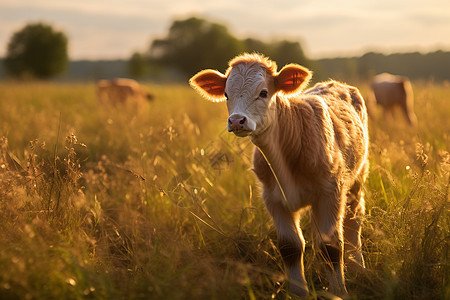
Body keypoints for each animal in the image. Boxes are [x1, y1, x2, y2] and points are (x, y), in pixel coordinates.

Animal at [190, 52, 370, 296]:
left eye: (263, 92)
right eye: (226, 94)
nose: (237, 120)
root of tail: (334, 83)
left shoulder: (330, 192)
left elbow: (330, 246)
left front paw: (338, 293)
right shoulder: (273, 199)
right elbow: (290, 247)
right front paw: (299, 293)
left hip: (357, 177)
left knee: (354, 219)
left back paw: (358, 266)